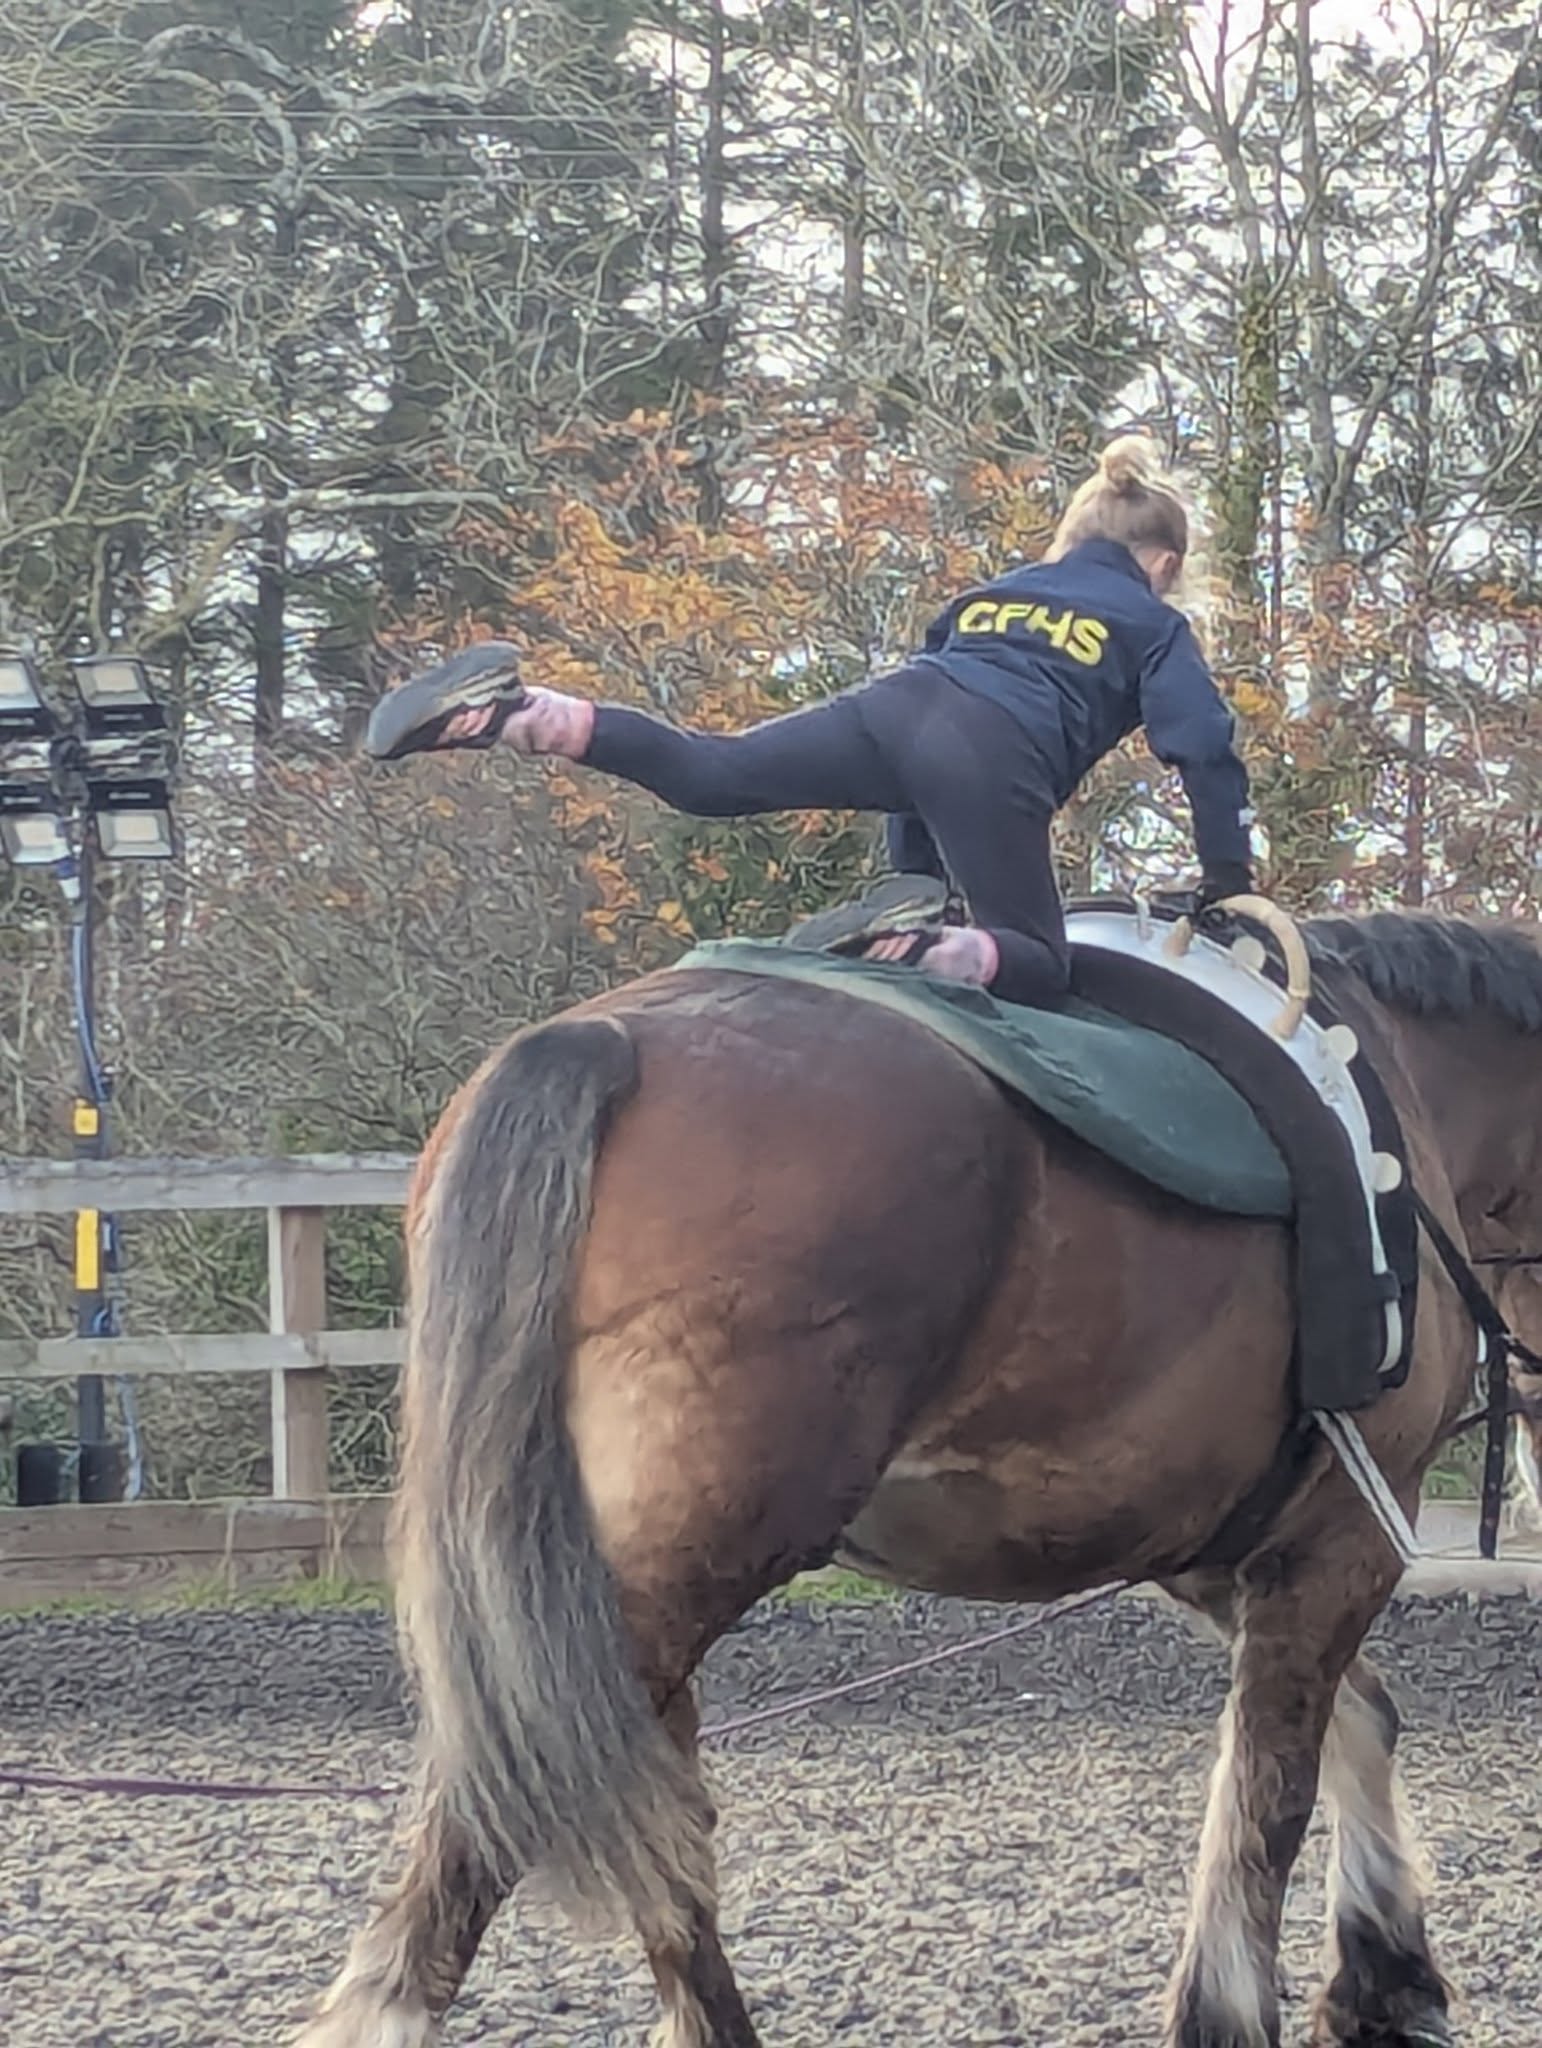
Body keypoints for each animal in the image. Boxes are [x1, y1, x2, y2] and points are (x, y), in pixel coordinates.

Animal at [297, 910, 1542, 2048]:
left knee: (662, 1833)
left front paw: (1387, 1976)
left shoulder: (1224, 1549)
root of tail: (604, 1041)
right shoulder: (1341, 1538)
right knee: (453, 1887)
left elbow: (1354, 1720)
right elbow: (1268, 1796)